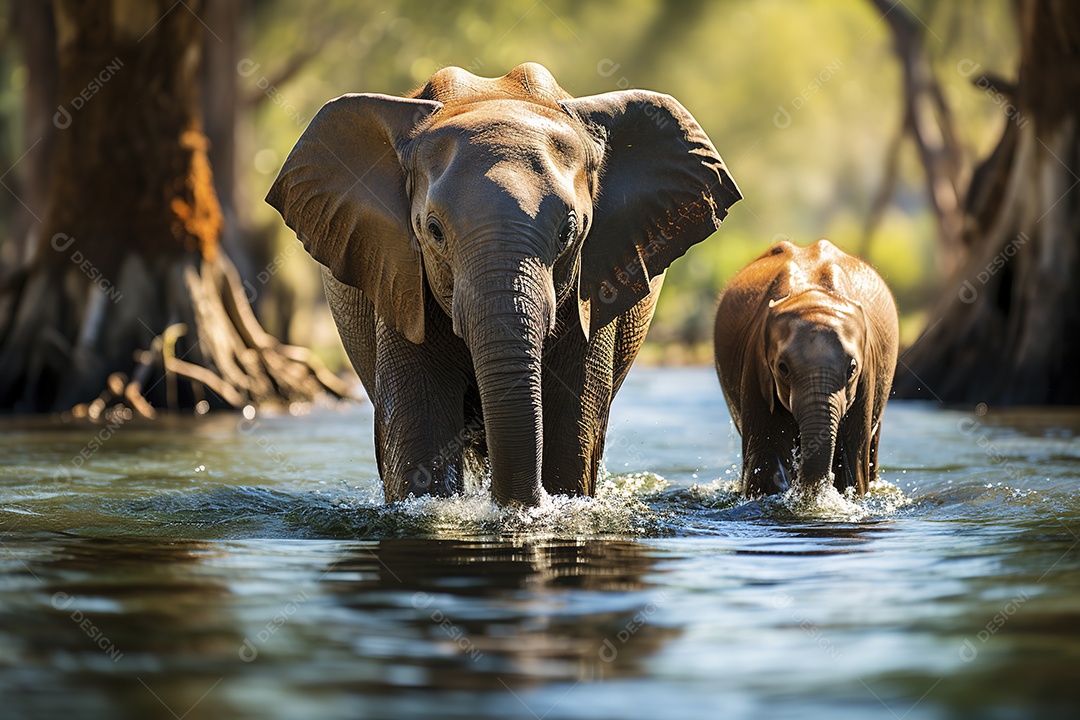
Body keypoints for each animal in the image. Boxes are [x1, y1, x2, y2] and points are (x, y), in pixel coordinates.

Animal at [267, 63, 741, 505]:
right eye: (433, 231)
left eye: (569, 231)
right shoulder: (400, 277)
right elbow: (419, 425)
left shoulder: (597, 283)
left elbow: (571, 431)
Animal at [713, 239, 898, 497]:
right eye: (782, 368)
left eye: (852, 369)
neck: (812, 296)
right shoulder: (755, 367)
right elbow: (766, 466)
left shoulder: (866, 376)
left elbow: (851, 466)